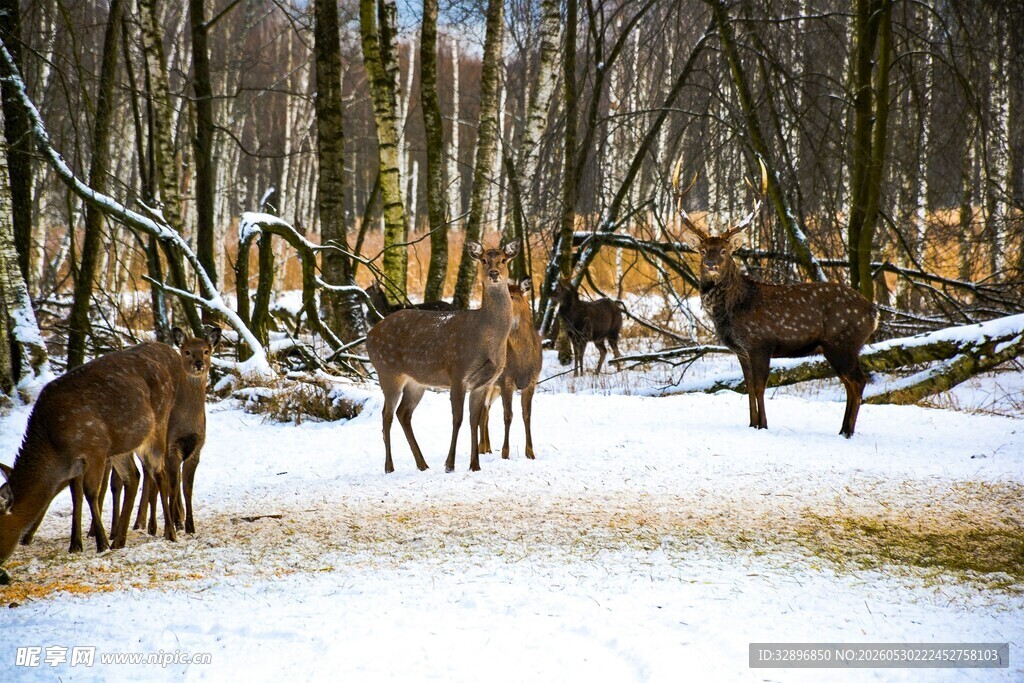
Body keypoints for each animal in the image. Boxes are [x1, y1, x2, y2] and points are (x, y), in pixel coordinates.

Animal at [0, 332, 214, 569]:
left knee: (160, 474)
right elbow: (77, 496)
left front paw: (100, 543)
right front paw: (76, 544)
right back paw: (120, 539)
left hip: (155, 431)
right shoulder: (77, 464)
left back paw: (168, 532)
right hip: (123, 444)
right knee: (134, 476)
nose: (24, 537)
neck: (54, 445)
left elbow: (91, 492)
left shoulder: (95, 448)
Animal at [366, 240, 520, 473]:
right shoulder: (457, 372)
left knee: (403, 413)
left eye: (503, 260)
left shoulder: (483, 383)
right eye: (484, 260)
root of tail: (369, 335)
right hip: (388, 371)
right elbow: (457, 419)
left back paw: (422, 464)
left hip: (416, 382)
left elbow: (474, 420)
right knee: (386, 415)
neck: (485, 336)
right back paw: (389, 467)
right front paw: (450, 464)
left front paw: (475, 465)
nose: (493, 273)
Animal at [478, 279, 543, 460]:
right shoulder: (506, 380)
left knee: (485, 411)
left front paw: (530, 453)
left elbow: (527, 415)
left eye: (512, 296)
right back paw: (482, 447)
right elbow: (508, 415)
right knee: (481, 411)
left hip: (494, 389)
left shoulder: (532, 381)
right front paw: (505, 453)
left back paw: (486, 448)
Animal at [673, 159, 878, 437]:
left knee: (858, 380)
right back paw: (843, 429)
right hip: (839, 348)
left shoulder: (760, 343)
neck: (735, 309)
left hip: (843, 342)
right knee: (851, 382)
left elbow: (760, 387)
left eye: (725, 250)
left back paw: (846, 431)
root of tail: (874, 312)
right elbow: (748, 387)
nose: (711, 264)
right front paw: (752, 423)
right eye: (703, 250)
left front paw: (763, 425)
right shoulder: (741, 351)